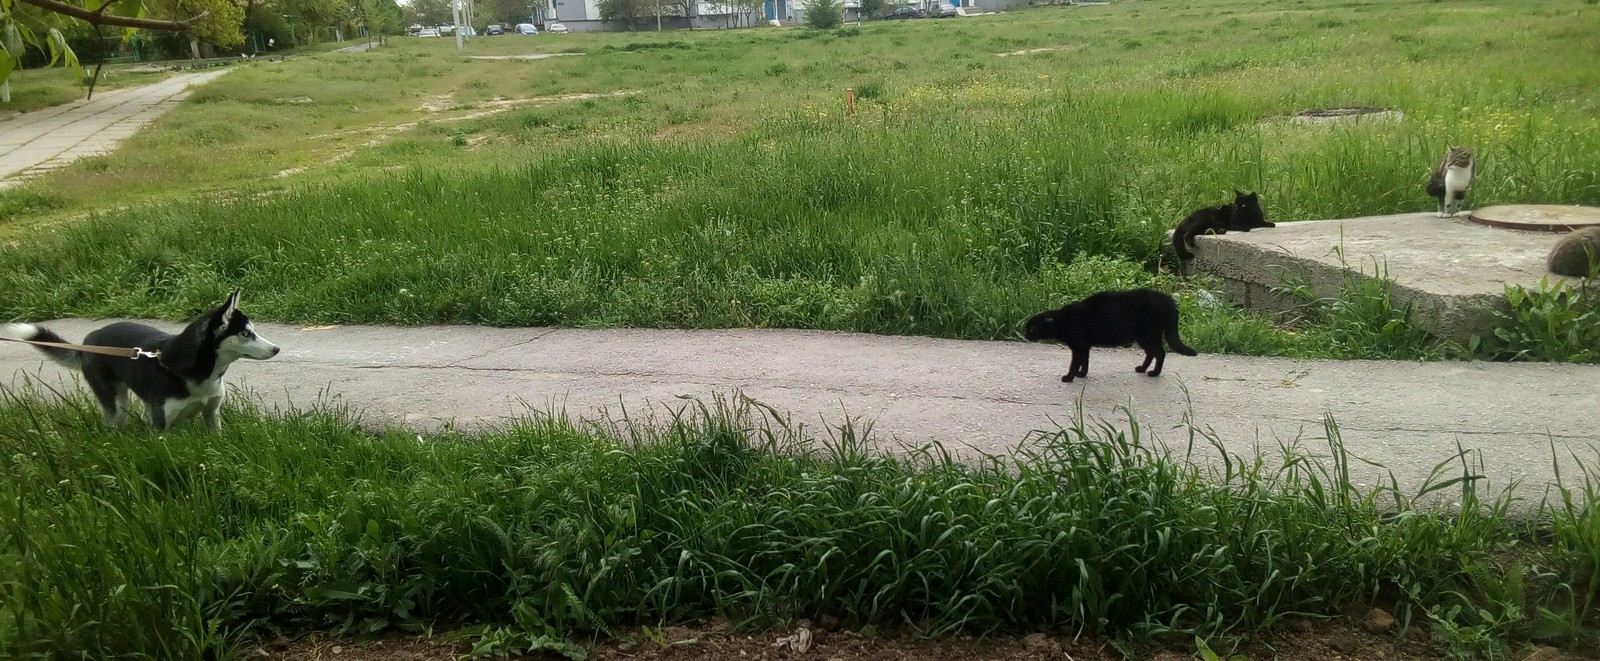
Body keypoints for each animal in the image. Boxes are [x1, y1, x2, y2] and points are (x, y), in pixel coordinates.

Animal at [0, 286, 280, 428]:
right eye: (245, 333)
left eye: (253, 330)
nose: (277, 349)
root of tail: (87, 342)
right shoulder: (162, 426)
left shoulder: (211, 414)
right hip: (116, 403)